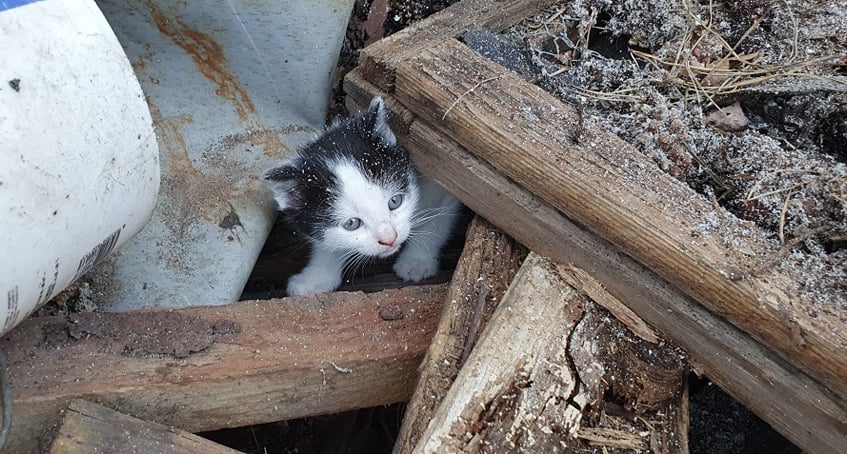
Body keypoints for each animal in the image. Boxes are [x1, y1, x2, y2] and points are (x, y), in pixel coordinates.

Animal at [264, 96, 464, 296]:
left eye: (395, 201)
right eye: (352, 223)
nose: (389, 239)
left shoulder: (441, 184)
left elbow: (435, 220)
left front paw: (416, 261)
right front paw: (315, 279)